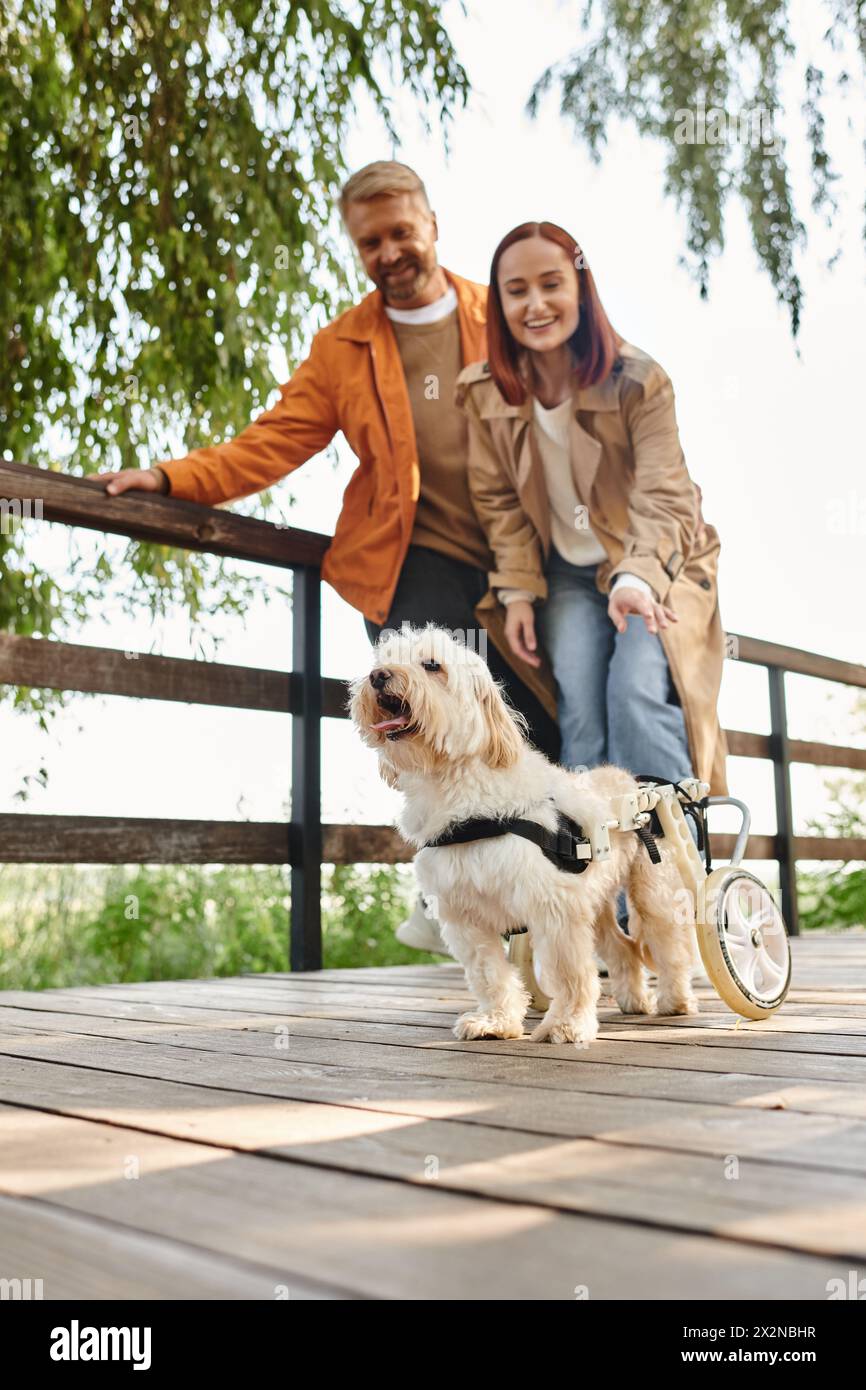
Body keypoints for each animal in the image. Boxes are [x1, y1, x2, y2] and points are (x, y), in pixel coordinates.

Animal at [348, 622, 700, 1045]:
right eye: (383, 661)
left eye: (432, 665)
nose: (378, 677)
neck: (462, 795)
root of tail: (636, 783)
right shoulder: (464, 916)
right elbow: (490, 974)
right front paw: (496, 1020)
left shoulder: (555, 906)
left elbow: (569, 972)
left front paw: (566, 1023)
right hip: (596, 906)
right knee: (623, 950)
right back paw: (634, 999)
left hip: (652, 894)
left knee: (670, 947)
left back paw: (675, 1000)